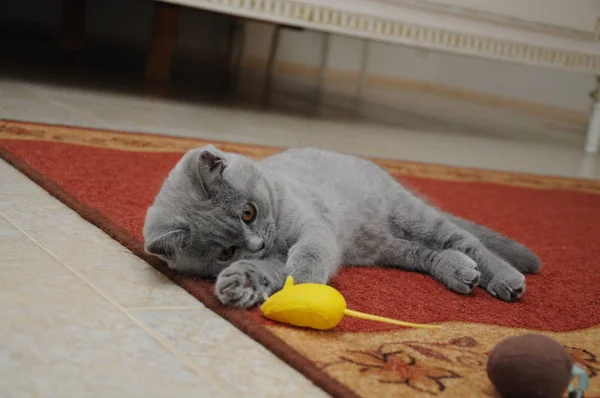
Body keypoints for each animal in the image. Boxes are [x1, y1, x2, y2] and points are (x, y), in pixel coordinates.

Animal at [143, 146, 540, 308]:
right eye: (225, 251)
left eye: (248, 213)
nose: (256, 245)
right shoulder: (275, 258)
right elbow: (266, 271)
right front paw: (238, 284)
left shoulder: (313, 227)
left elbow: (310, 251)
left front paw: (305, 280)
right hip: (388, 248)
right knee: (432, 254)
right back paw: (461, 272)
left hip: (411, 215)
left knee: (467, 241)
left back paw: (505, 279)